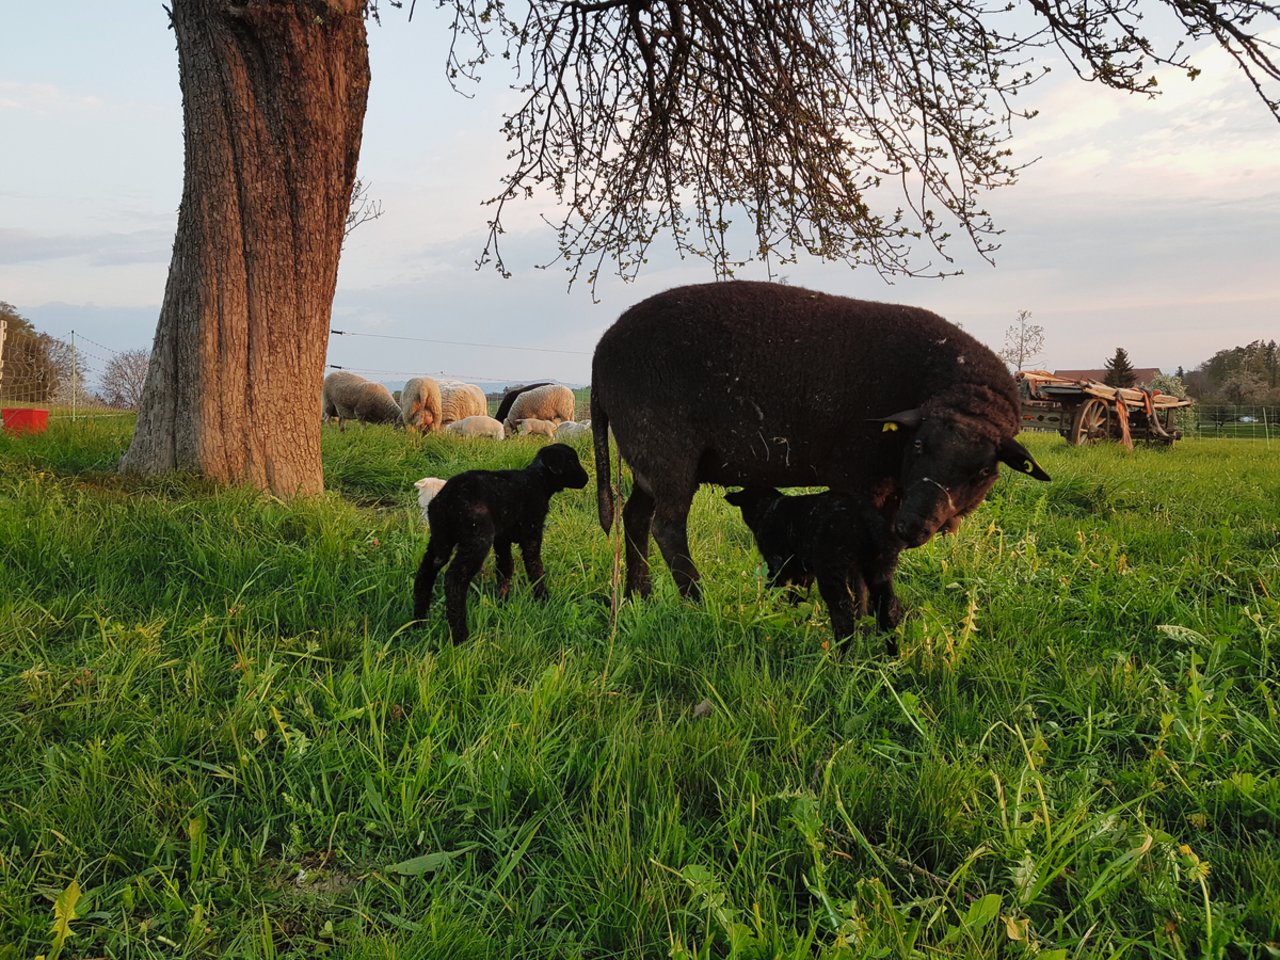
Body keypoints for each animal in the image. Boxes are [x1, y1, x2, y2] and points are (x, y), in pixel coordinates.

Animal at [414, 445, 588, 642]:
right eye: (572, 461)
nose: (586, 479)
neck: (538, 480)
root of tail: (446, 499)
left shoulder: (502, 539)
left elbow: (505, 569)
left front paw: (502, 602)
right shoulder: (532, 534)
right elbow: (535, 568)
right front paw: (543, 600)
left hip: (440, 538)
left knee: (425, 572)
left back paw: (419, 622)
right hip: (477, 538)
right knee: (454, 578)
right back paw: (460, 636)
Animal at [588, 277, 1049, 604]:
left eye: (984, 471)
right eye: (919, 446)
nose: (915, 525)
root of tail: (601, 350)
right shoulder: (859, 477)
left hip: (645, 457)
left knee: (635, 516)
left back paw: (638, 595)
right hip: (665, 447)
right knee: (667, 527)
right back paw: (696, 601)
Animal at [727, 488, 906, 655]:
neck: (768, 508)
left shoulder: (777, 565)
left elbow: (773, 592)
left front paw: (766, 614)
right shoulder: (803, 572)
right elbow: (798, 599)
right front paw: (796, 623)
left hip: (831, 567)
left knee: (843, 612)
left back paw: (840, 658)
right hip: (880, 568)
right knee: (888, 610)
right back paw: (891, 657)